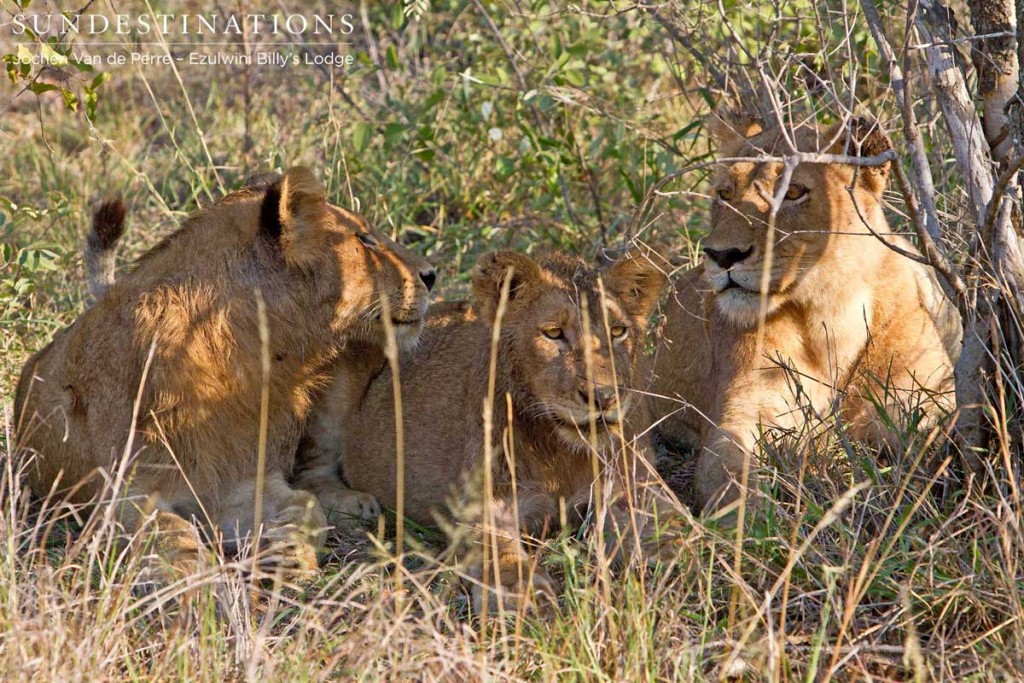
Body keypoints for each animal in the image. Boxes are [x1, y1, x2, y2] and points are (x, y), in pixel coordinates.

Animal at [14, 167, 436, 581]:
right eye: (365, 239)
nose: (431, 275)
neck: (239, 358)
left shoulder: (240, 479)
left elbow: (306, 506)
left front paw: (290, 551)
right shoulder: (120, 494)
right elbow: (169, 532)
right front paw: (196, 583)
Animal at [299, 249, 663, 610]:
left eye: (618, 331)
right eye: (553, 333)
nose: (604, 397)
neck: (562, 452)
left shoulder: (634, 490)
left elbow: (663, 529)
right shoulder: (484, 508)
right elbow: (503, 558)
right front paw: (522, 597)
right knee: (310, 470)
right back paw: (355, 504)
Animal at [655, 113, 958, 511]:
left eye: (794, 192)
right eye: (725, 194)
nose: (722, 255)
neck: (831, 311)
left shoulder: (924, 397)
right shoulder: (747, 411)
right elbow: (728, 473)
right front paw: (751, 518)